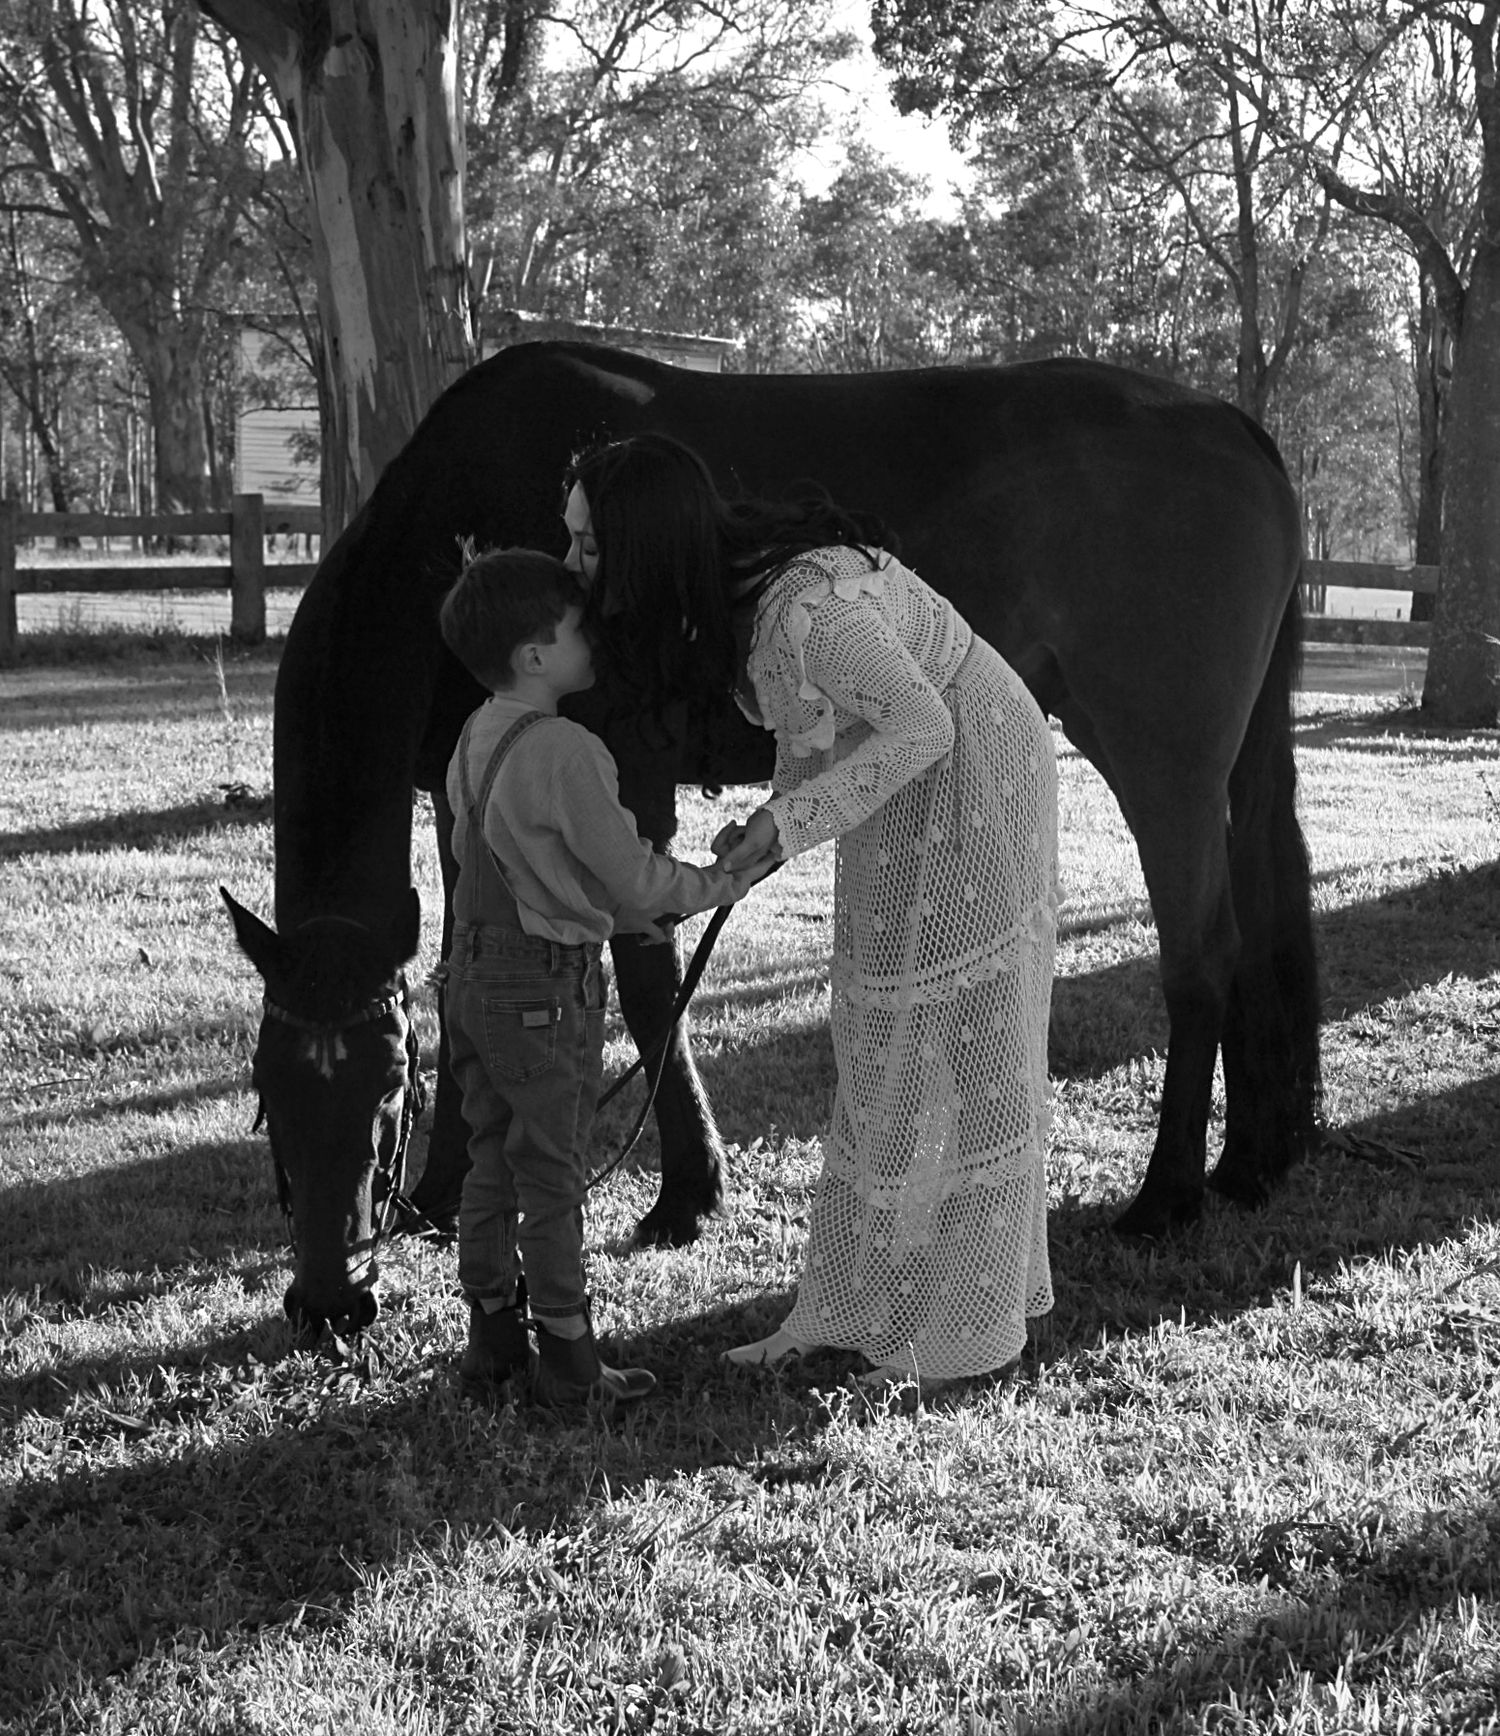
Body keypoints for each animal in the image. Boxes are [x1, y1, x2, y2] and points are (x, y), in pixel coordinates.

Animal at [222, 340, 1318, 1340]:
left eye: (382, 1097)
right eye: (269, 1094)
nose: (327, 1303)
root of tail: (1228, 420)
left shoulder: (622, 784)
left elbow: (647, 977)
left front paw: (685, 1192)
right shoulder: (470, 799)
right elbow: (474, 977)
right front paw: (451, 1186)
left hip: (1163, 763)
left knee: (1202, 957)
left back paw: (1166, 1196)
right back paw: (1250, 1162)